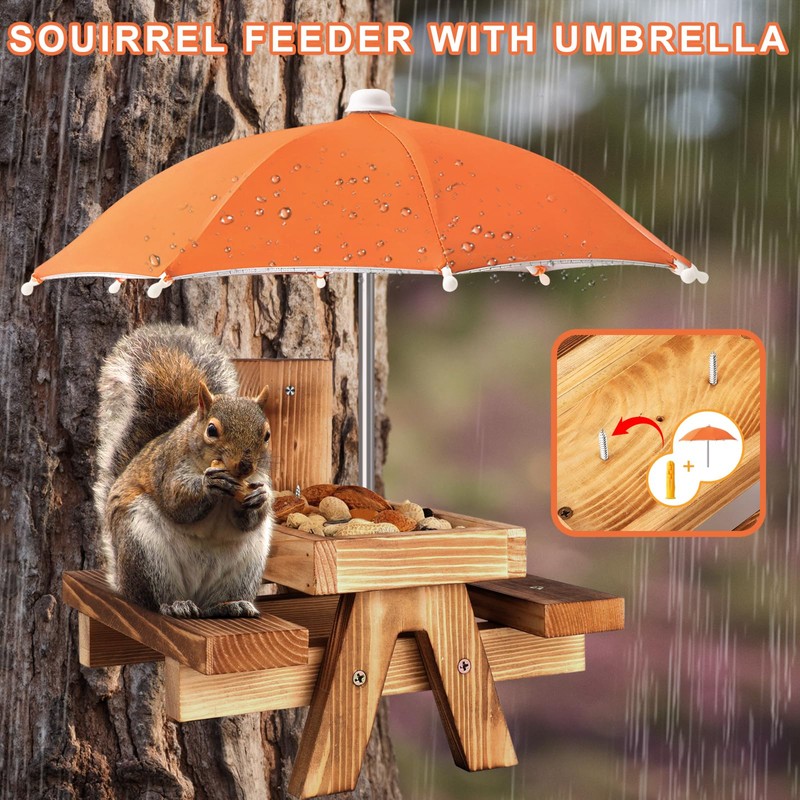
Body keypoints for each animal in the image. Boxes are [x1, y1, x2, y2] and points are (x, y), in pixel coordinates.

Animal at [93, 323, 273, 619]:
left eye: (267, 434)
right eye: (211, 430)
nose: (245, 465)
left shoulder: (259, 476)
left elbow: (250, 519)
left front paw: (260, 498)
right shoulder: (168, 467)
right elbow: (176, 502)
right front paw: (209, 485)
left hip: (246, 565)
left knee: (215, 603)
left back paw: (231, 604)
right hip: (143, 549)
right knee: (154, 597)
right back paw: (175, 605)